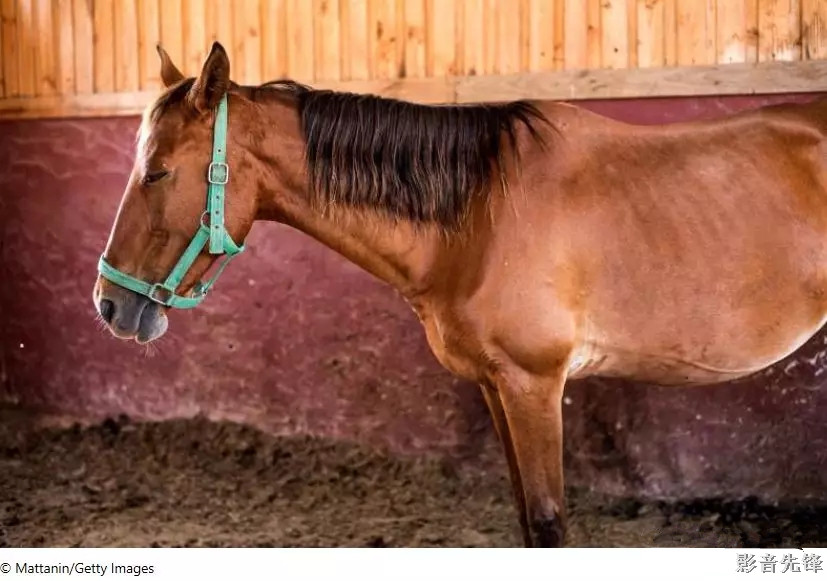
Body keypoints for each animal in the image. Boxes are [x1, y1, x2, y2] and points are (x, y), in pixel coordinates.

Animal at [92, 43, 827, 548]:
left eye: (157, 171)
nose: (108, 304)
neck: (479, 213)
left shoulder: (534, 385)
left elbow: (548, 524)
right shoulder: (495, 386)